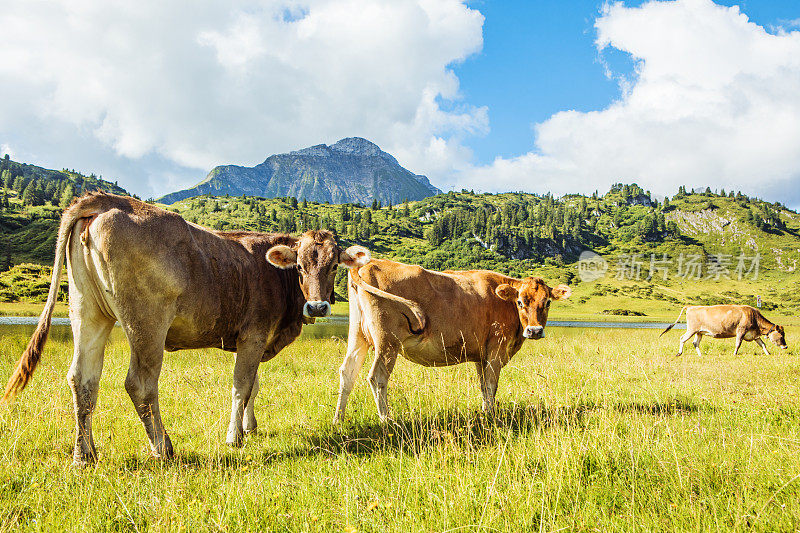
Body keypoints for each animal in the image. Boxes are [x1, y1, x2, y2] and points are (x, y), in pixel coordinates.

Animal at [3, 192, 364, 466]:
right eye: (300, 266)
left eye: (334, 266)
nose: (317, 307)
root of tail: (108, 200)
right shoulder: (254, 333)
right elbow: (242, 386)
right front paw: (234, 437)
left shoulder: (255, 340)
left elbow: (254, 387)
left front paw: (249, 428)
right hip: (146, 322)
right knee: (140, 384)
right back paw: (163, 448)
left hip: (87, 311)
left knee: (83, 379)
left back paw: (84, 455)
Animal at [332, 258, 568, 424]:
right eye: (520, 301)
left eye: (547, 302)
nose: (535, 330)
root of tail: (369, 263)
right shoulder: (496, 350)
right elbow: (492, 385)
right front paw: (491, 417)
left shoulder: (480, 354)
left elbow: (484, 386)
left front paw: (485, 413)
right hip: (387, 341)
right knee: (378, 377)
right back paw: (387, 421)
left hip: (358, 335)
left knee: (348, 372)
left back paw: (338, 420)